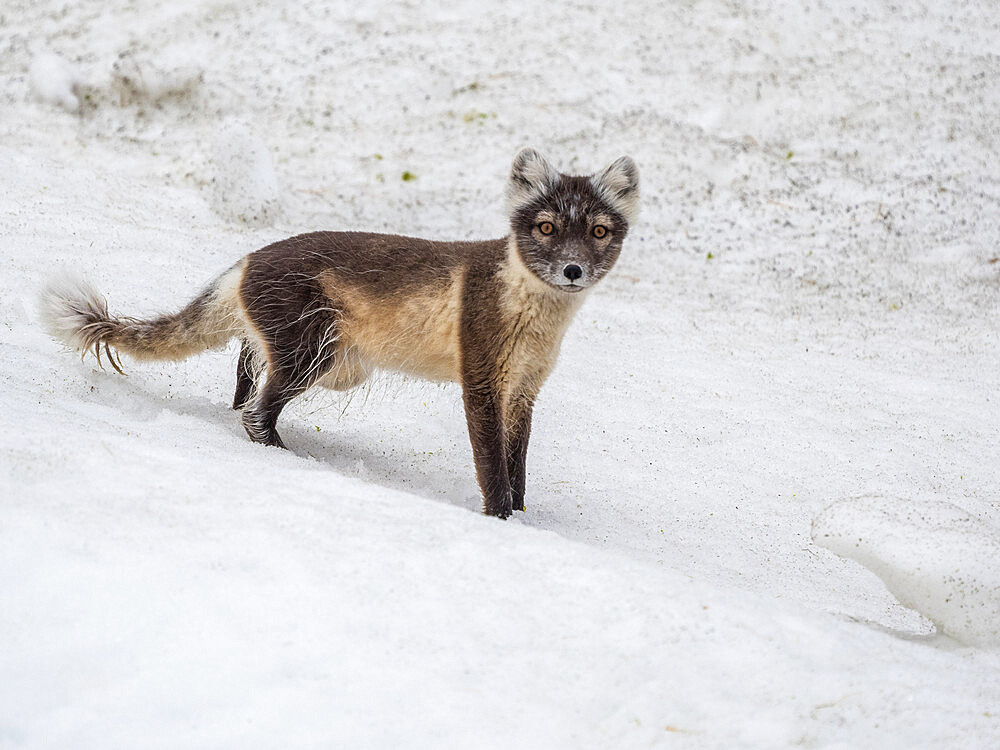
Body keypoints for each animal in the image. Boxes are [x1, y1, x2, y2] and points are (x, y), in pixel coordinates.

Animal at [41, 150, 640, 520]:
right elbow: (493, 467)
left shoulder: (525, 388)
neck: (536, 322)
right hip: (312, 353)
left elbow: (519, 466)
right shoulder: (482, 378)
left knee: (246, 374)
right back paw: (286, 456)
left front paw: (522, 517)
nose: (572, 270)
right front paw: (501, 522)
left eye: (598, 231)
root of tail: (243, 261)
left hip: (335, 365)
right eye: (546, 227)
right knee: (255, 412)